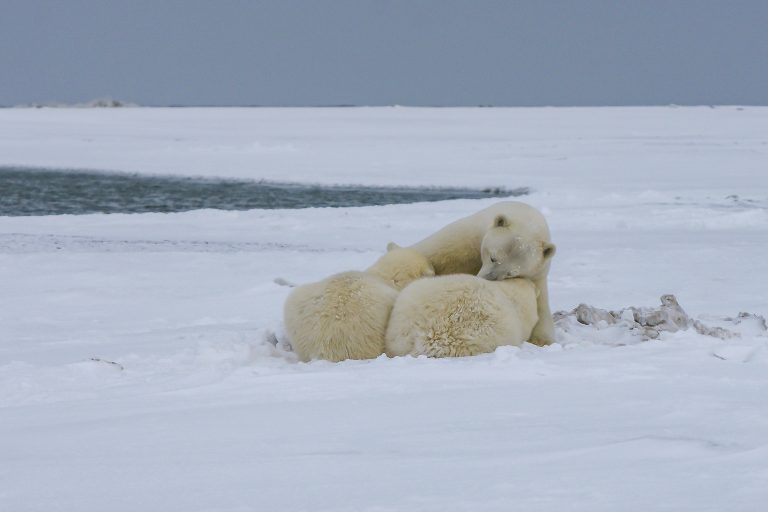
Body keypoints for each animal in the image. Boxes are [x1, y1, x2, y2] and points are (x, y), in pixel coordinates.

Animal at [404, 202, 556, 346]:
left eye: (511, 273)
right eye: (493, 258)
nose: (488, 279)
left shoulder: (538, 273)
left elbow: (539, 305)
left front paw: (541, 340)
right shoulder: (466, 240)